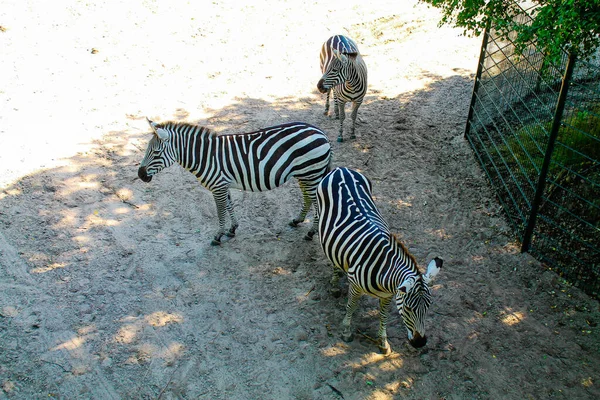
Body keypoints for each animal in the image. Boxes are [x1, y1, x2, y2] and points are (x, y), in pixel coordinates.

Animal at [137, 117, 332, 245]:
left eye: (156, 152)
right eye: (148, 150)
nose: (140, 175)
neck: (205, 156)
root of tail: (320, 132)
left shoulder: (218, 186)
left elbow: (220, 211)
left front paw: (218, 236)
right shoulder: (223, 185)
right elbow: (229, 205)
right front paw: (232, 229)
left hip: (311, 173)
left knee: (317, 203)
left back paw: (311, 232)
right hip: (304, 174)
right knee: (307, 198)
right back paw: (297, 221)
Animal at [316, 167, 442, 354]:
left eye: (428, 306)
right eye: (408, 308)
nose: (420, 343)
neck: (384, 271)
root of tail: (342, 169)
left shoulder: (389, 295)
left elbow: (383, 315)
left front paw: (383, 341)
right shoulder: (355, 286)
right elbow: (351, 306)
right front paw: (346, 331)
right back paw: (335, 283)